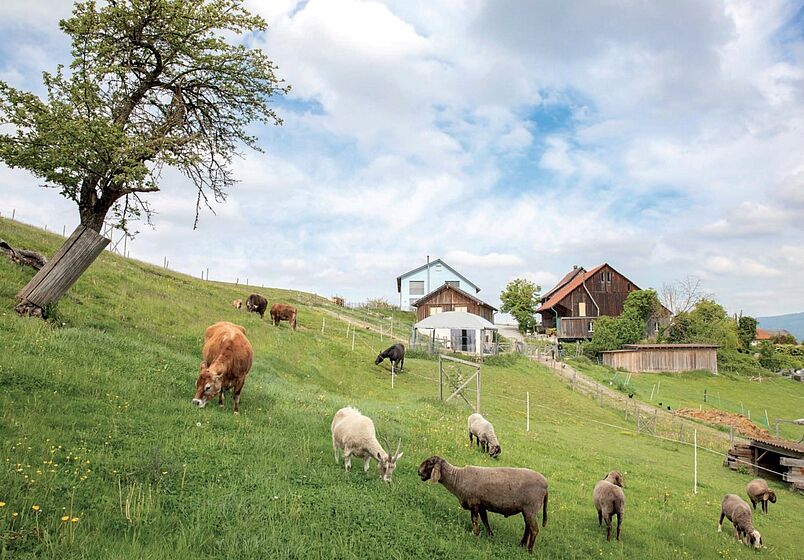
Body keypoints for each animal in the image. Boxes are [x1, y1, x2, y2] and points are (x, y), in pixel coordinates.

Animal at [420, 458, 548, 552]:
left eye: (429, 463)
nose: (418, 472)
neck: (458, 478)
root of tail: (546, 485)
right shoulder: (481, 505)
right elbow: (485, 520)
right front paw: (490, 535)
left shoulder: (474, 503)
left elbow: (474, 519)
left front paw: (475, 534)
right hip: (527, 510)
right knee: (528, 527)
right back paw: (521, 544)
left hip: (531, 508)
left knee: (534, 530)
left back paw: (529, 550)